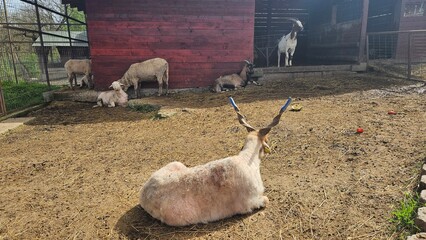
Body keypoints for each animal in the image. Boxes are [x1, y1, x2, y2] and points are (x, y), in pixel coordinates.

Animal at [140, 96, 292, 226]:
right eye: (266, 140)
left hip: (177, 163)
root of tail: (143, 192)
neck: (247, 160)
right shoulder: (252, 202)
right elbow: (266, 200)